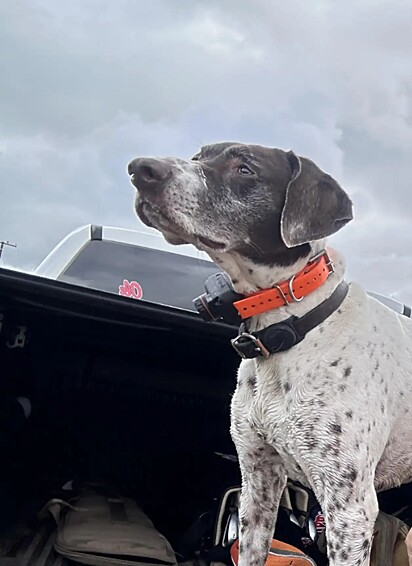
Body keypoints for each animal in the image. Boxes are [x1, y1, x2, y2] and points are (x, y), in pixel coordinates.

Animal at [128, 144, 412, 564]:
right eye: (198, 155)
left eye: (245, 168)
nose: (140, 169)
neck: (291, 334)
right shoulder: (257, 478)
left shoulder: (349, 507)